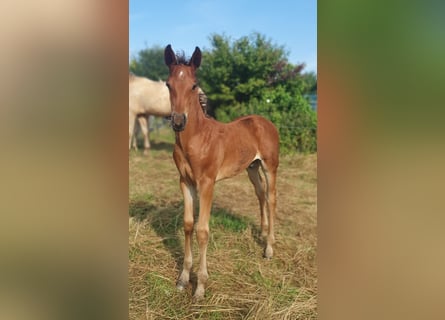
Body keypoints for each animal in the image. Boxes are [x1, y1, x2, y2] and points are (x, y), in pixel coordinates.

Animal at [165, 45, 280, 302]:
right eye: (168, 84)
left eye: (194, 85)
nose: (178, 121)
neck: (197, 138)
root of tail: (264, 121)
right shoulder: (184, 182)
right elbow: (188, 224)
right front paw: (183, 279)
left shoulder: (207, 183)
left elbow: (202, 230)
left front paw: (200, 287)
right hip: (252, 167)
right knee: (260, 194)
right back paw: (262, 233)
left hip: (270, 166)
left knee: (270, 199)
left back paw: (269, 247)